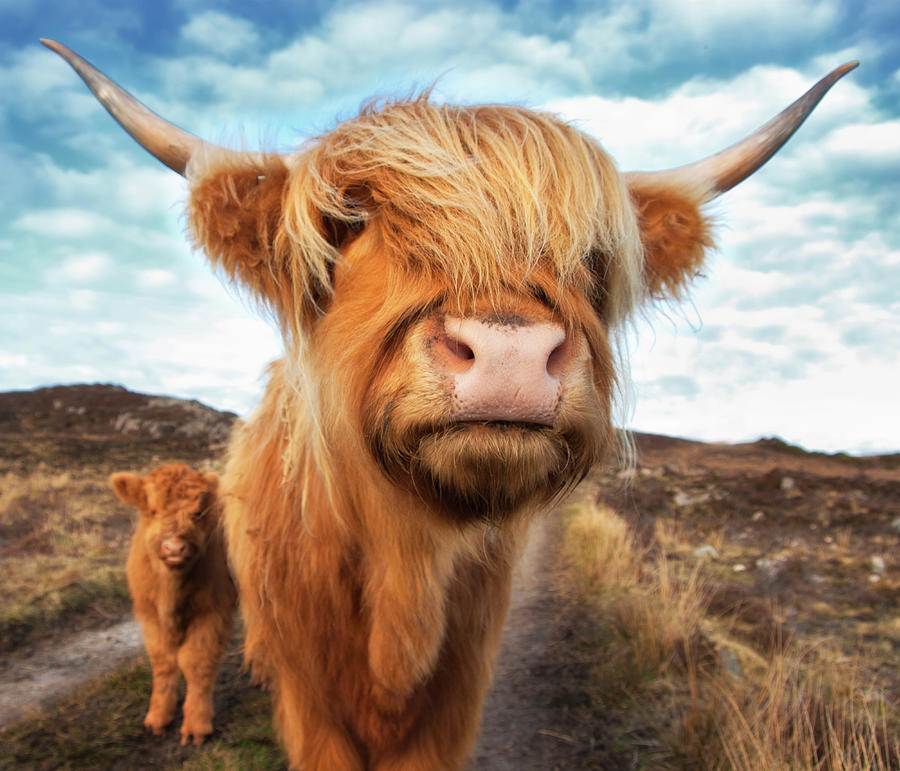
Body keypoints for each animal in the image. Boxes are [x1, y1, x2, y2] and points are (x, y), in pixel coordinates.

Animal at [109, 464, 237, 748]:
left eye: (197, 512)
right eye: (152, 510)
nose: (175, 547)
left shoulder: (212, 614)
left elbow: (195, 662)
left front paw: (196, 726)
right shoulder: (150, 616)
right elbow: (164, 661)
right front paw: (157, 718)